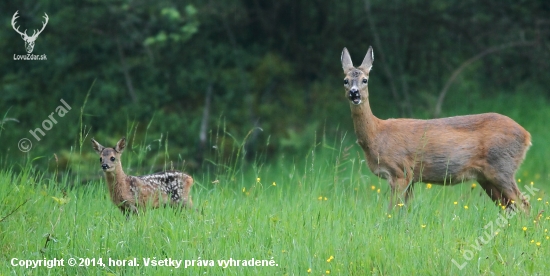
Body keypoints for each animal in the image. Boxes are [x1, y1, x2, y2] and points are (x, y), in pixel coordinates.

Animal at [342, 46, 532, 212]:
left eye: (365, 80)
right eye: (345, 80)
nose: (354, 93)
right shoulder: (411, 178)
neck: (376, 134)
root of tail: (527, 135)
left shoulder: (400, 171)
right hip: (486, 177)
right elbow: (404, 212)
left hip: (502, 167)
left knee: (524, 205)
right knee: (510, 207)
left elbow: (392, 210)